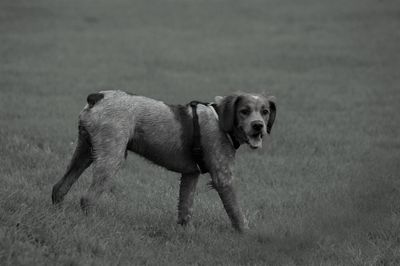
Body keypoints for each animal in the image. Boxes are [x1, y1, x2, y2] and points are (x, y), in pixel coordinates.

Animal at [51, 90, 276, 232]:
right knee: (87, 199)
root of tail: (98, 97)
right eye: (244, 111)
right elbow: (236, 213)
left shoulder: (190, 175)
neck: (221, 120)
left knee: (59, 188)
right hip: (111, 158)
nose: (258, 126)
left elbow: (185, 210)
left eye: (265, 111)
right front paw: (247, 235)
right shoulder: (223, 178)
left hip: (84, 152)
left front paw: (188, 233)